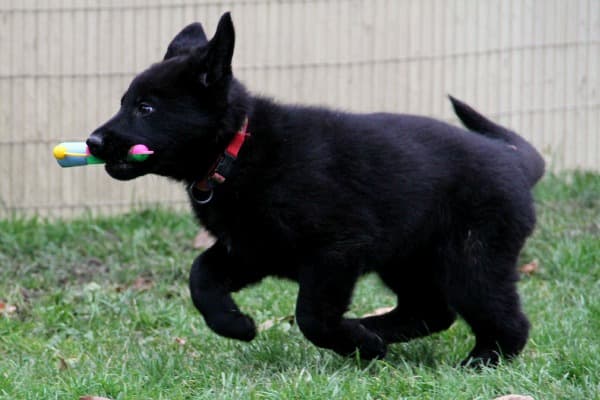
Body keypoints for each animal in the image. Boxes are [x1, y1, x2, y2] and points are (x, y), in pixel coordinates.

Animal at [86, 12, 545, 366]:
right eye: (124, 102)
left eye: (146, 108)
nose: (92, 141)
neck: (236, 151)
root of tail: (514, 160)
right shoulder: (252, 247)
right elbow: (201, 275)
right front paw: (236, 325)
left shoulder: (336, 250)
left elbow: (311, 317)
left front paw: (359, 348)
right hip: (406, 257)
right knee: (431, 311)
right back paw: (374, 328)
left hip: (472, 258)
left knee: (504, 318)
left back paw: (480, 359)